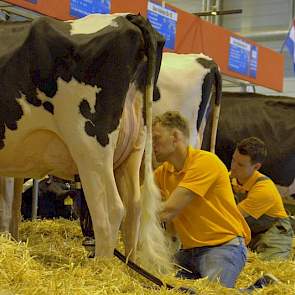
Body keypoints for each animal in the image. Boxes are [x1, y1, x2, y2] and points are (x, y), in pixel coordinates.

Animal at [0, 13, 171, 272]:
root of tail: (127, 18)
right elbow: (12, 206)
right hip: (132, 149)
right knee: (133, 208)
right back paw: (126, 270)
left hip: (90, 147)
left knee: (111, 210)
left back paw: (100, 270)